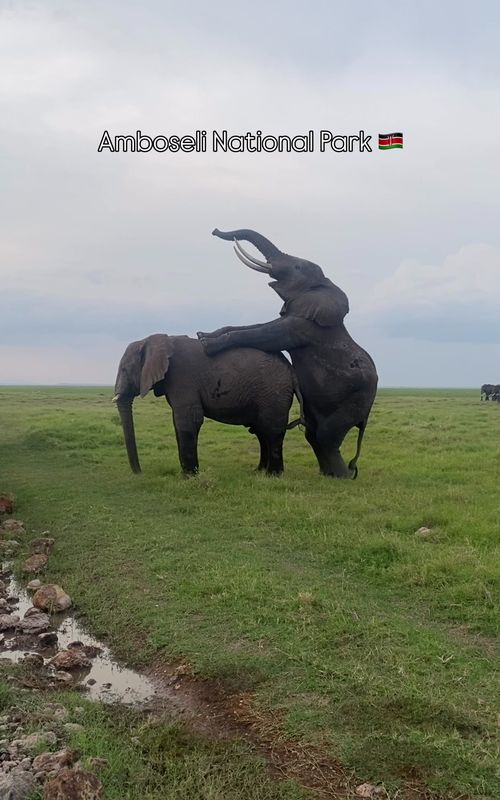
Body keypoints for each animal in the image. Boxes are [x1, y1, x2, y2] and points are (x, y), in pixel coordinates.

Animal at [113, 333, 302, 475]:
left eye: (124, 370)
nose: (139, 472)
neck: (152, 340)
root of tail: (291, 369)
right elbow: (177, 423)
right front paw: (186, 473)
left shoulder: (182, 378)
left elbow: (188, 421)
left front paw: (189, 476)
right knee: (261, 432)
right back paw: (259, 471)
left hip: (274, 392)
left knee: (272, 431)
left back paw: (273, 475)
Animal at [198, 228, 378, 478]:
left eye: (297, 267)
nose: (214, 230)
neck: (323, 285)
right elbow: (257, 326)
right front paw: (202, 334)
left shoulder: (305, 327)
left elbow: (268, 334)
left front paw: (207, 344)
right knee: (314, 434)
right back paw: (328, 474)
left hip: (359, 397)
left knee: (325, 435)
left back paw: (341, 477)